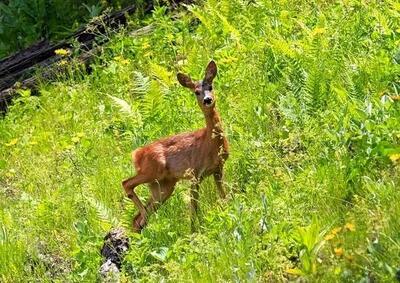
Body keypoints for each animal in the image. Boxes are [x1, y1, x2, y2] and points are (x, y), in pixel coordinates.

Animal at [121, 60, 228, 233]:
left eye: (210, 86)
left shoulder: (218, 168)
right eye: (196, 92)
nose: (207, 100)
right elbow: (194, 208)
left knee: (136, 219)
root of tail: (136, 154)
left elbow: (223, 195)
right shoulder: (195, 173)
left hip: (163, 186)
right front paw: (194, 231)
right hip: (153, 170)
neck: (211, 143)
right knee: (126, 183)